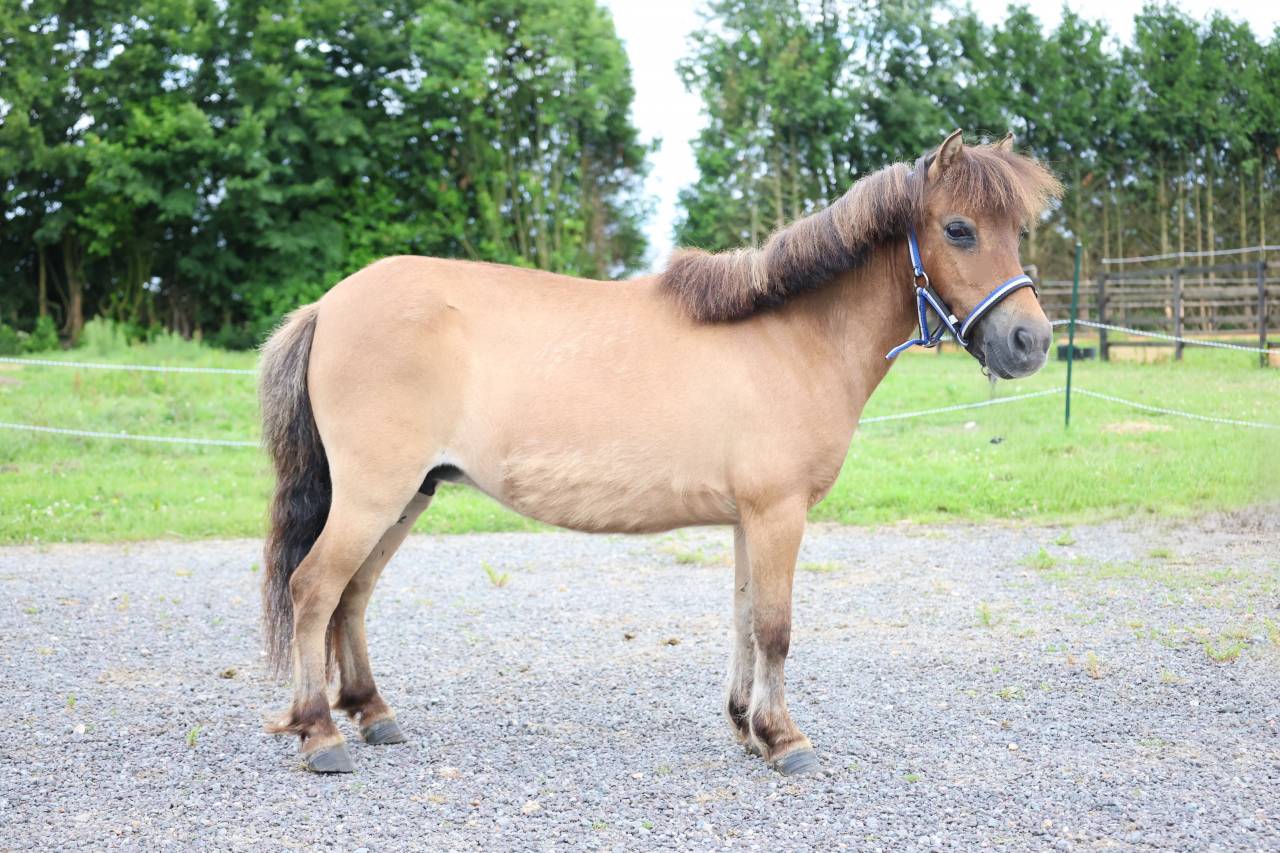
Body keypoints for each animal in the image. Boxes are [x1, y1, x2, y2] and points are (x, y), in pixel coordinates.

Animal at [257, 129, 1062, 775]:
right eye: (959, 229)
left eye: (1017, 229)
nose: (1030, 342)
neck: (790, 338)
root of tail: (329, 305)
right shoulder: (778, 514)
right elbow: (775, 626)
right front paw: (785, 738)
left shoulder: (749, 519)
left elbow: (744, 618)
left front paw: (748, 728)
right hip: (373, 495)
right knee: (314, 589)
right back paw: (321, 735)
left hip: (409, 494)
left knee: (353, 595)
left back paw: (373, 713)